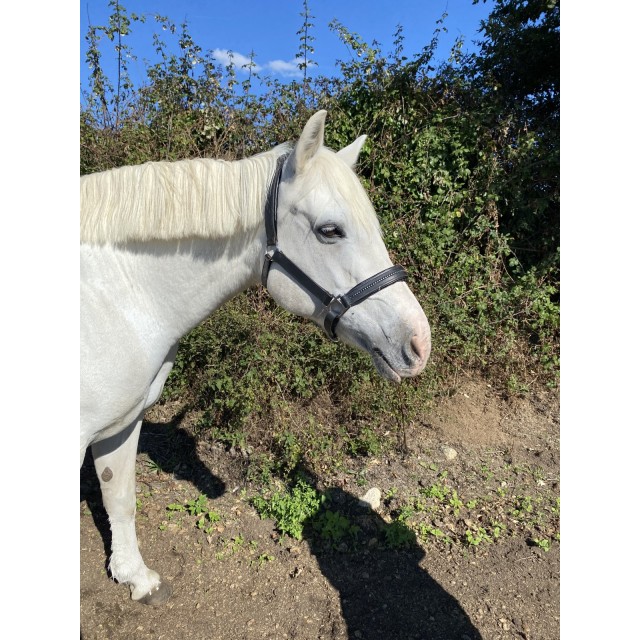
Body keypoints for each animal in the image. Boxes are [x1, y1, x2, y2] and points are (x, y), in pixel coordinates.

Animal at [80, 110, 431, 604]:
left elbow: (120, 496)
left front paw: (135, 577)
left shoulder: (123, 422)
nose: (419, 343)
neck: (119, 297)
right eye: (330, 230)